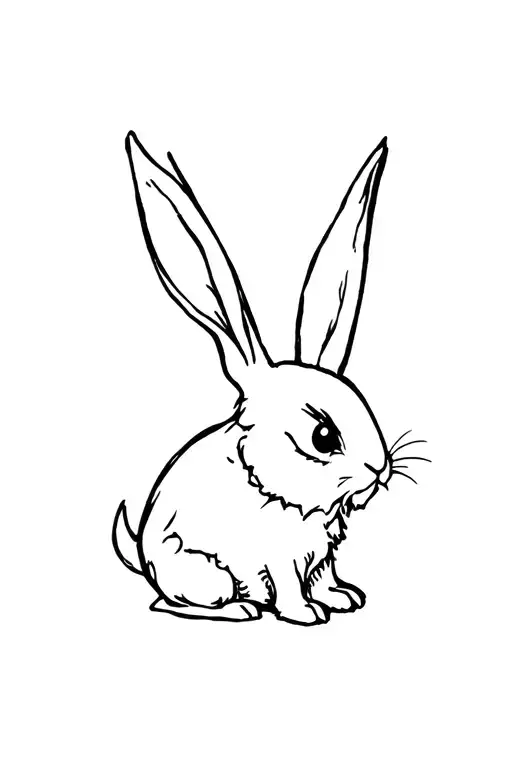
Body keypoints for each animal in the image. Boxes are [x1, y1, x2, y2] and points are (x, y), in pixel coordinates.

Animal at [113, 131, 404, 625]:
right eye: (322, 436)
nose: (379, 469)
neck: (271, 484)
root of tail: (142, 558)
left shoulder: (320, 555)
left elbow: (323, 577)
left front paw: (343, 598)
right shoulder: (278, 557)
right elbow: (289, 588)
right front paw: (307, 614)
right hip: (206, 576)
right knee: (173, 602)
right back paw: (241, 609)